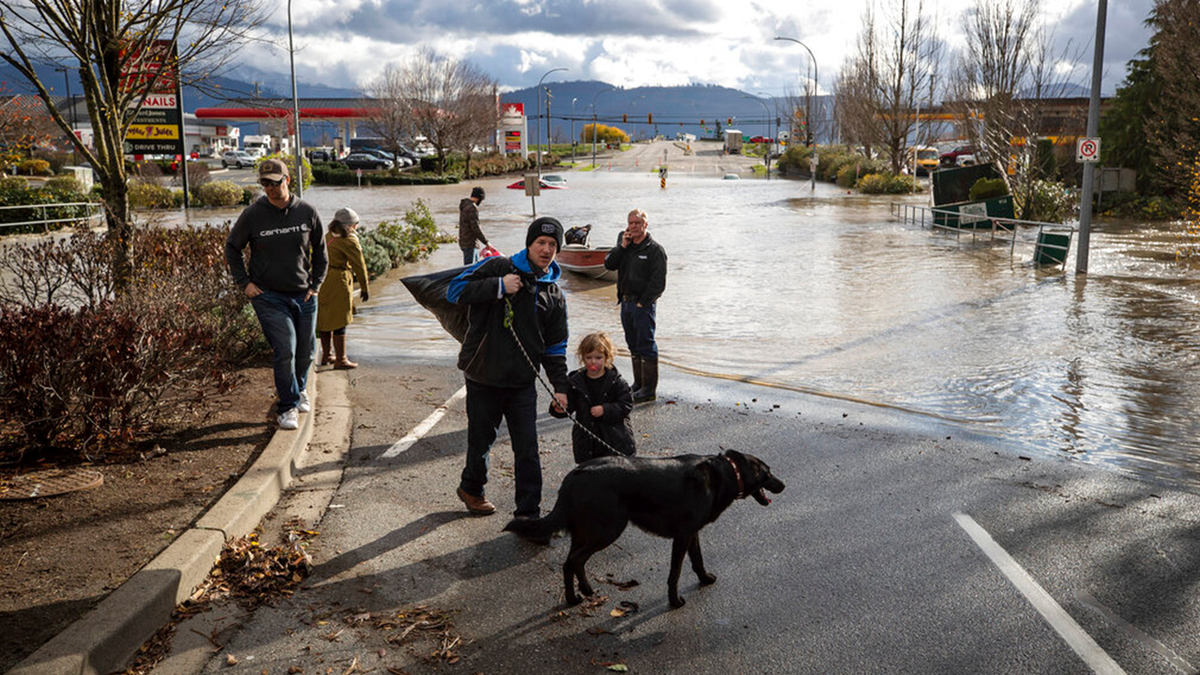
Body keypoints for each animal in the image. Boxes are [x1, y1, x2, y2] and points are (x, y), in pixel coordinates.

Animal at [501, 296, 624, 454]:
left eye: (598, 357)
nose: (593, 363)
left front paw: (598, 409)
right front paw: (558, 405)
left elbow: (623, 404)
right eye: (589, 357)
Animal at [501, 449, 782, 607]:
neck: (728, 473)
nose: (784, 485)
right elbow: (675, 572)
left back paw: (585, 590)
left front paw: (704, 579)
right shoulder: (682, 536)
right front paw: (674, 602)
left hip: (585, 533)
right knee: (572, 562)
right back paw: (572, 600)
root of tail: (574, 475)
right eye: (768, 473)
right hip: (607, 530)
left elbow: (698, 560)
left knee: (573, 561)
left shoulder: (692, 533)